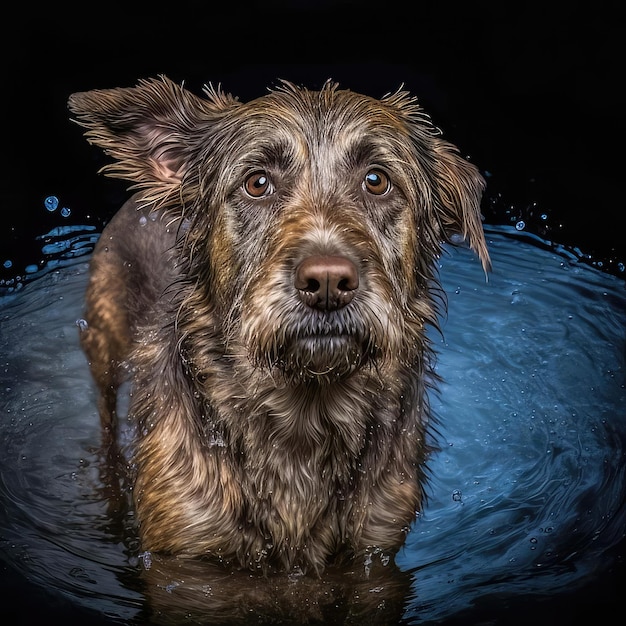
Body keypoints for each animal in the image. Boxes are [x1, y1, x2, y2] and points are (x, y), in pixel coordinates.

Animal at [68, 77, 488, 576]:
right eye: (257, 183)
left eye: (376, 180)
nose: (327, 282)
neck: (306, 411)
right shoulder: (187, 553)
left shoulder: (374, 552)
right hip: (103, 348)